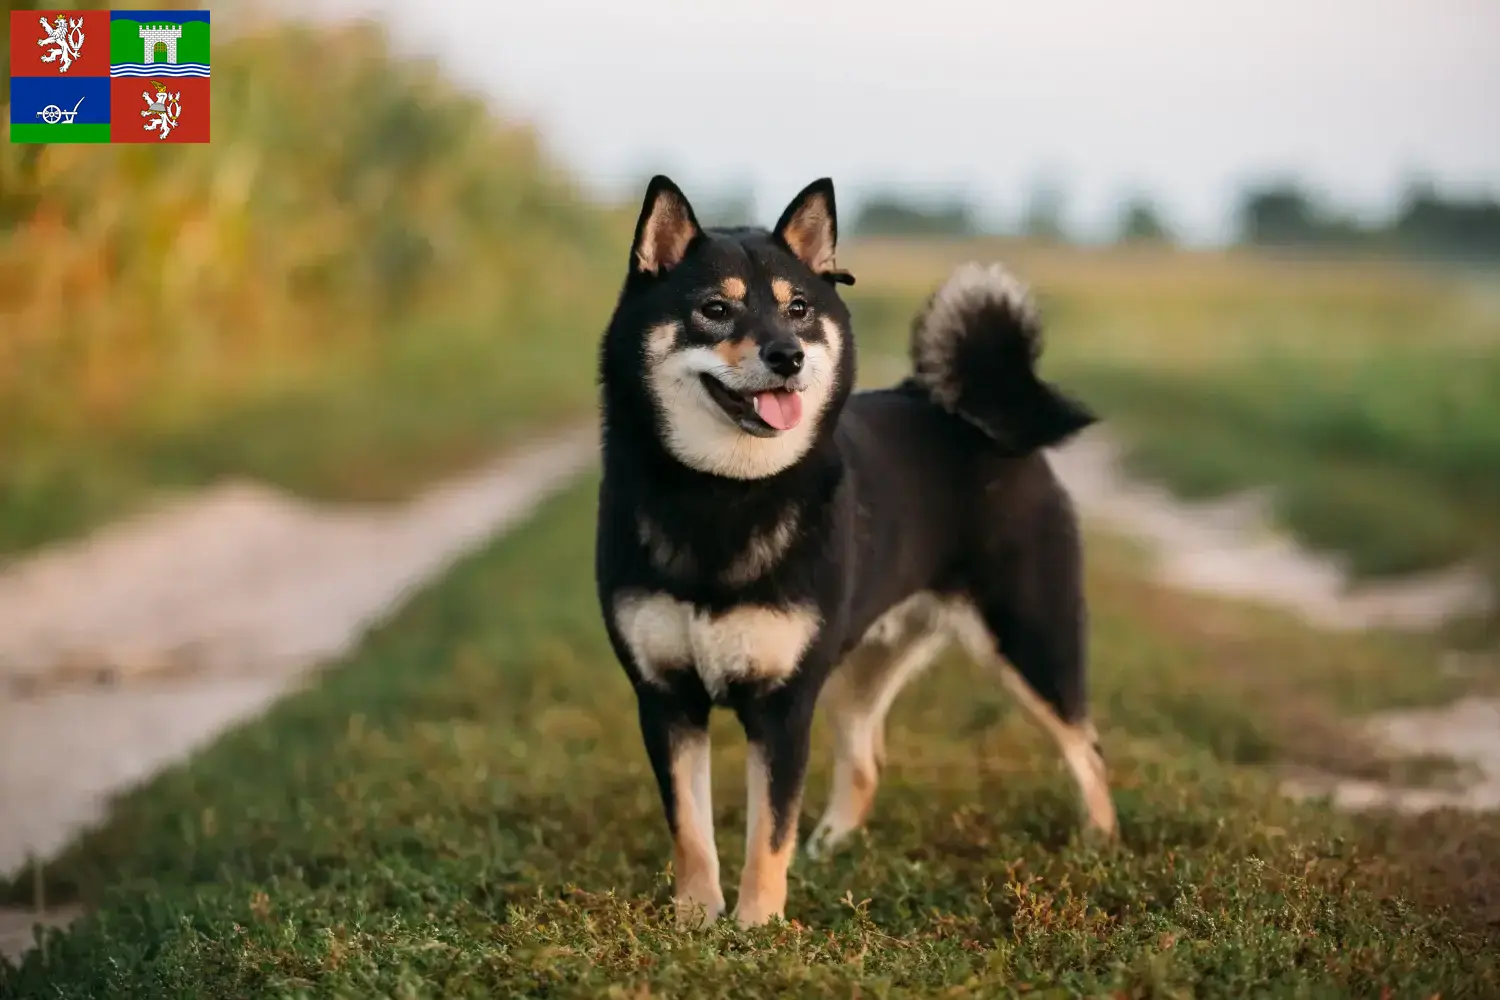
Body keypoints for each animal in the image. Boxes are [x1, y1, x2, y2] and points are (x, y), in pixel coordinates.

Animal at [594, 173, 1116, 929]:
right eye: (715, 309)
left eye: (799, 308)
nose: (788, 355)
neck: (722, 493)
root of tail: (964, 412)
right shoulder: (666, 697)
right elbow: (691, 829)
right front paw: (695, 921)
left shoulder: (783, 706)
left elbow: (766, 831)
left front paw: (755, 927)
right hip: (858, 667)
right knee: (867, 763)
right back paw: (832, 846)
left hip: (1030, 641)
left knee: (1087, 745)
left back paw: (1101, 845)